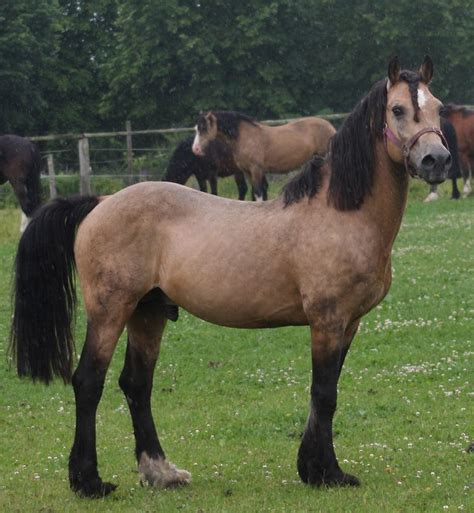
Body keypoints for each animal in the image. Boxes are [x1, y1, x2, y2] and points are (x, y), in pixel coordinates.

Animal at [191, 110, 336, 200]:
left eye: (204, 128)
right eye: (197, 128)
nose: (195, 149)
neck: (245, 136)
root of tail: (331, 127)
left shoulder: (256, 170)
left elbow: (258, 193)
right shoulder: (247, 172)